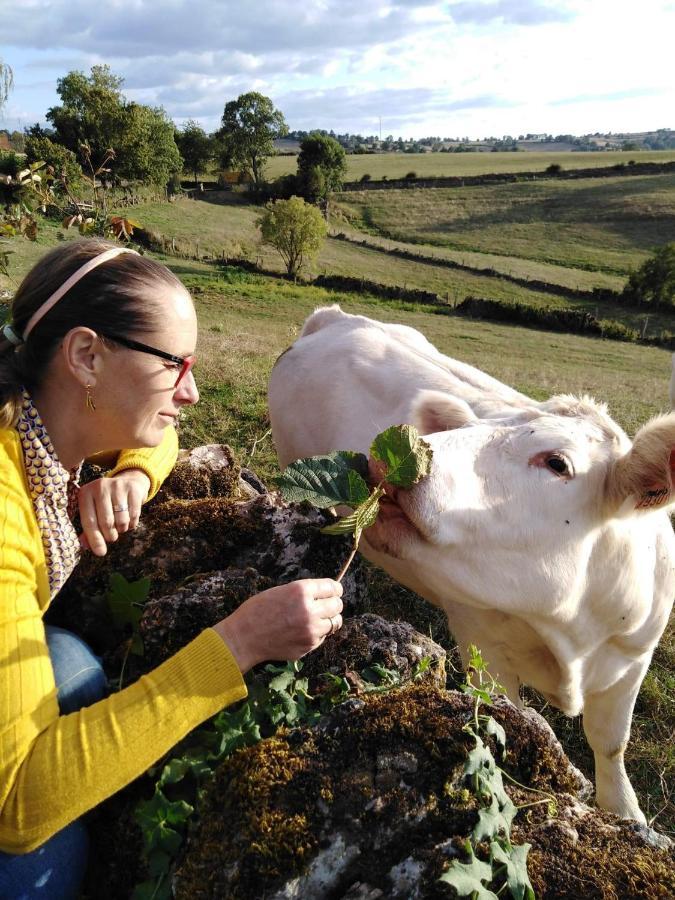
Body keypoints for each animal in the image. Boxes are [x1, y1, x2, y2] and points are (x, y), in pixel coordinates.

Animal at [270, 304, 675, 824]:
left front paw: (625, 812)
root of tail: (337, 315)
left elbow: (610, 743)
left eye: (558, 463)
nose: (399, 451)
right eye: (467, 430)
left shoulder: (633, 657)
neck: (569, 632)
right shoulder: (482, 641)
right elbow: (512, 721)